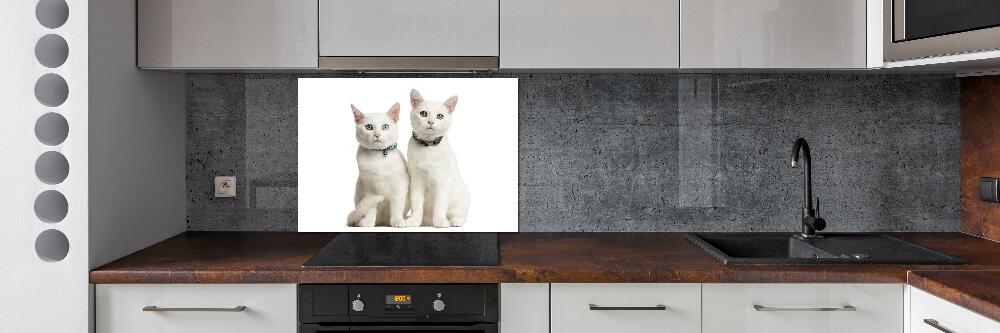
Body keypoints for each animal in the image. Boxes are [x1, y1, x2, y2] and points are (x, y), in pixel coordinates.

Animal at [404, 89, 470, 227]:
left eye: (440, 116)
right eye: (423, 114)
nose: (430, 122)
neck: (428, 147)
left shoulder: (443, 181)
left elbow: (440, 205)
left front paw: (439, 221)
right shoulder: (416, 180)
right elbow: (416, 203)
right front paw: (414, 220)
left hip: (462, 195)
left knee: (459, 213)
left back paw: (455, 220)